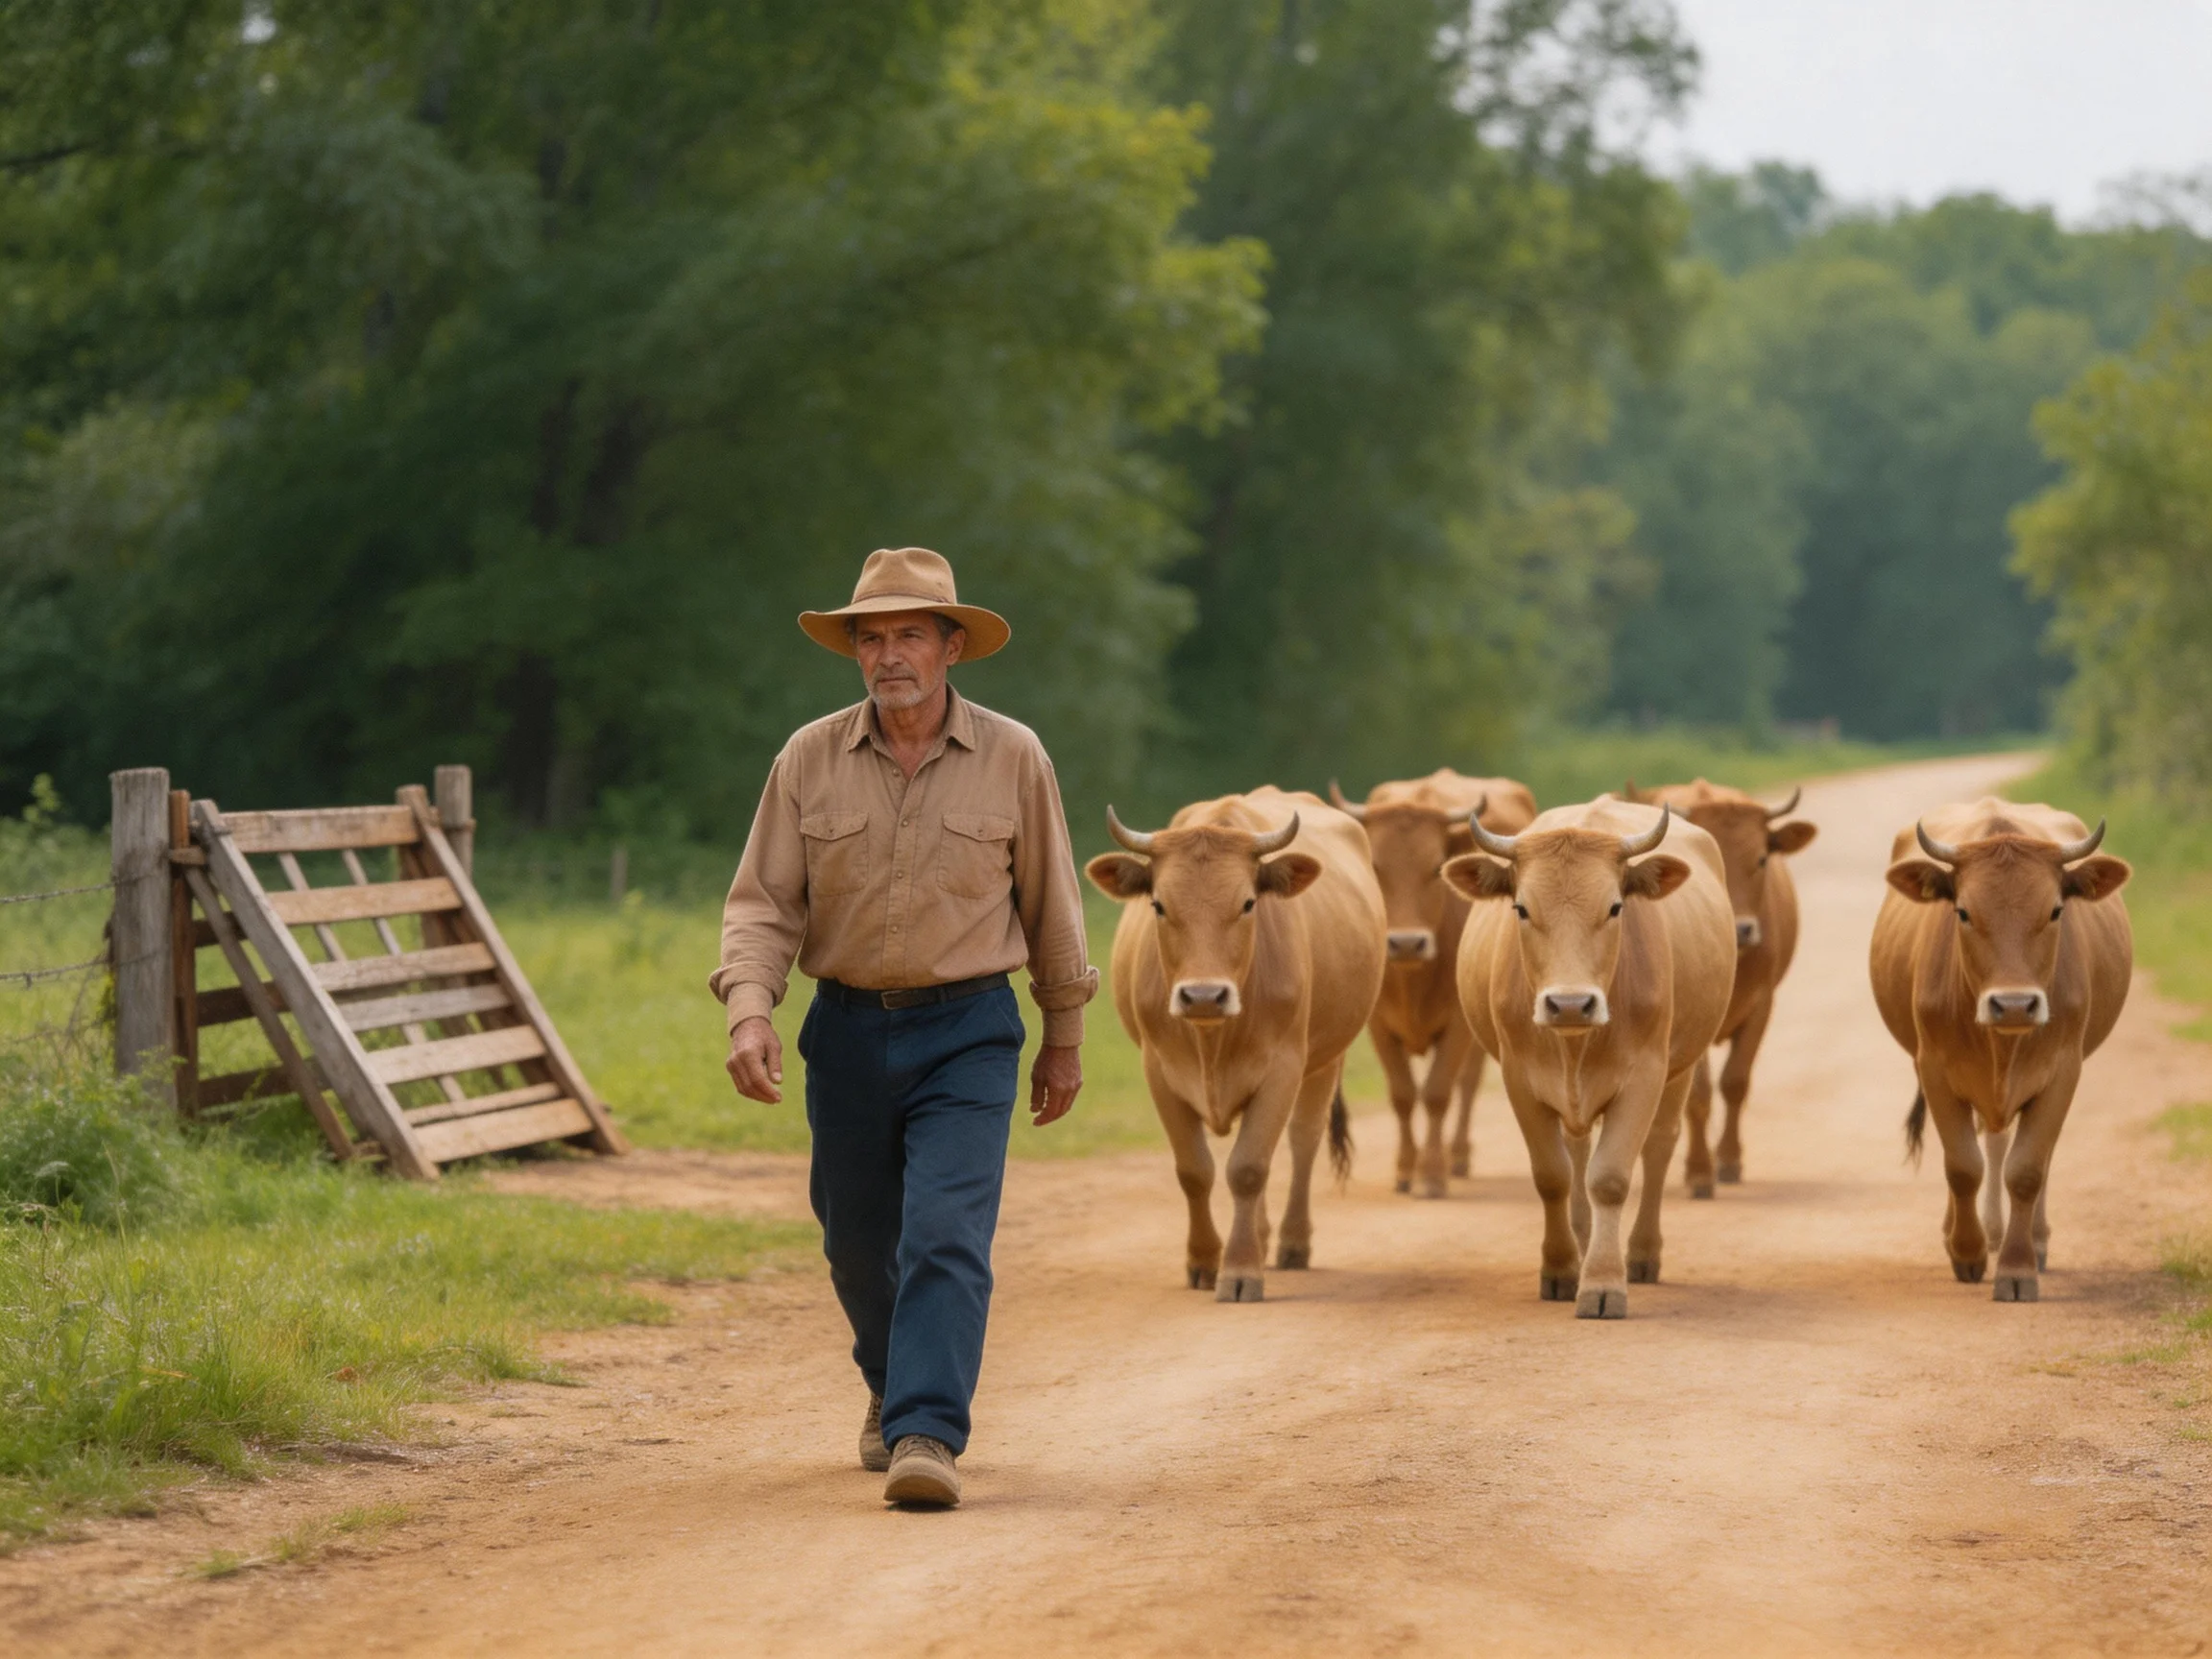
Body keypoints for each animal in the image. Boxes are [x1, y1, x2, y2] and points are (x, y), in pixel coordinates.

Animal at [1086, 788, 1387, 1303]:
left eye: (1248, 903)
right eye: (1159, 905)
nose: (1204, 995)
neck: (1211, 1041)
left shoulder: (1283, 1069)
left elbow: (1248, 1168)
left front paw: (1241, 1270)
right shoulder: (1158, 1071)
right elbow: (1195, 1171)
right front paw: (1205, 1261)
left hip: (1325, 1061)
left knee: (1302, 1141)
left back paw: (1290, 1243)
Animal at [1329, 771, 1538, 1196]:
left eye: (1435, 867)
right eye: (1376, 866)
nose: (1407, 942)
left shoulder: (1459, 1024)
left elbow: (1438, 1092)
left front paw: (1434, 1172)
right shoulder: (1378, 1026)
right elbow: (1403, 1094)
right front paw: (1405, 1169)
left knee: (1467, 1084)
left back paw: (1458, 1155)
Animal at [1446, 799, 1736, 1318]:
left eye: (1615, 907)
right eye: (1521, 908)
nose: (1569, 1004)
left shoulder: (1645, 1076)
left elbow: (1611, 1178)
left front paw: (1603, 1283)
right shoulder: (1519, 1079)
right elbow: (1554, 1176)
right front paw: (1562, 1269)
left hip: (1681, 1067)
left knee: (1659, 1147)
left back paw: (1641, 1254)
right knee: (1576, 1151)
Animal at [1619, 778, 1817, 1197]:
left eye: (1762, 859)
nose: (1742, 929)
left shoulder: (1763, 1004)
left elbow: (1735, 1083)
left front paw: (1728, 1160)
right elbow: (1699, 1094)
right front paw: (1698, 1171)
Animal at [1869, 799, 2132, 1302]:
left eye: (2055, 910)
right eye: (1963, 912)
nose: (2013, 1004)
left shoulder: (2063, 1072)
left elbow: (2027, 1169)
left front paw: (2018, 1267)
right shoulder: (1933, 1068)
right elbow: (1962, 1166)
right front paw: (1967, 1252)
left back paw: (2034, 1239)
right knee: (1984, 1145)